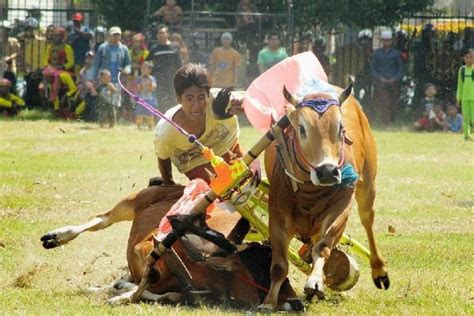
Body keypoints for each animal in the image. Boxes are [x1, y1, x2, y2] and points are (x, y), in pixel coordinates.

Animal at [39, 184, 300, 310]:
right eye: (262, 270)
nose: (296, 302)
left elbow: (170, 294)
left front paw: (121, 290)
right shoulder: (145, 246)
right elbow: (148, 277)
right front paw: (123, 294)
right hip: (133, 200)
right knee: (101, 219)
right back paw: (56, 237)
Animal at [262, 84, 388, 312]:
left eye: (340, 127)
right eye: (302, 128)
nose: (328, 171)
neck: (310, 192)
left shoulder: (340, 209)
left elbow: (322, 247)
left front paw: (315, 282)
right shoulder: (277, 216)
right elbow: (278, 266)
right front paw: (268, 302)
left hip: (368, 184)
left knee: (367, 220)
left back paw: (379, 270)